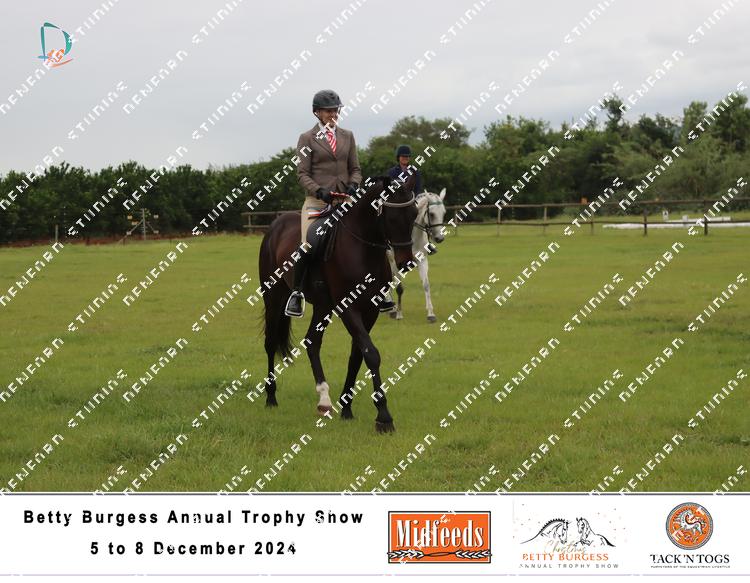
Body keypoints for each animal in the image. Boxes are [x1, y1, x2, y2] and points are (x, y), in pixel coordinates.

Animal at [258, 174, 418, 433]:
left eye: (414, 214)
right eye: (391, 217)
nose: (406, 262)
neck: (362, 248)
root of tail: (276, 224)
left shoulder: (370, 310)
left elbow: (357, 355)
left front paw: (347, 408)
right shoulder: (348, 307)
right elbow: (371, 354)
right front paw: (384, 416)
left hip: (322, 306)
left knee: (312, 342)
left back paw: (324, 401)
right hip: (274, 298)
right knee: (271, 343)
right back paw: (271, 397)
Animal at [386, 188, 447, 322]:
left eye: (444, 213)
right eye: (431, 214)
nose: (439, 238)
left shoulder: (422, 260)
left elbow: (426, 285)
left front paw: (431, 314)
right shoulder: (395, 263)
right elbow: (399, 288)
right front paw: (399, 314)